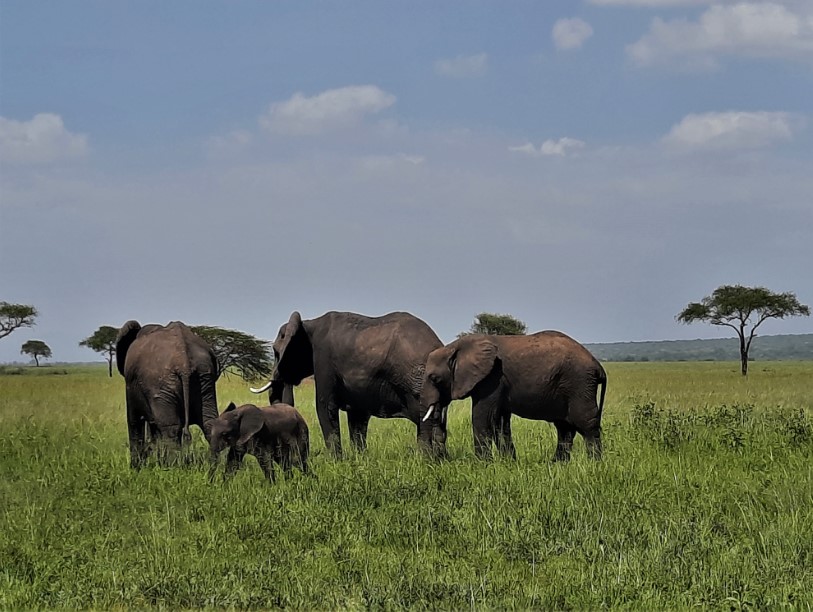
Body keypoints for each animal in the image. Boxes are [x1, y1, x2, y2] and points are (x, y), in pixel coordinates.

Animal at [114, 320, 220, 468]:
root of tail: (184, 362)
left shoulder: (131, 384)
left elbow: (134, 420)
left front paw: (136, 468)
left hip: (161, 382)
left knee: (170, 427)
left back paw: (171, 468)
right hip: (204, 379)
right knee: (209, 423)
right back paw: (215, 466)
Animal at [251, 314, 448, 456]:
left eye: (275, 352)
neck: (308, 324)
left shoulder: (323, 360)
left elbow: (324, 407)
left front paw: (335, 462)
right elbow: (357, 417)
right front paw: (359, 459)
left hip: (417, 380)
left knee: (425, 420)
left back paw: (426, 459)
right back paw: (439, 460)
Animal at [418, 332, 604, 462]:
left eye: (434, 378)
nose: (437, 458)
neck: (454, 347)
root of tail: (598, 365)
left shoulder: (492, 378)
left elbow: (482, 417)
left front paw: (483, 464)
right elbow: (500, 423)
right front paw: (508, 463)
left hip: (580, 384)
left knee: (586, 424)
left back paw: (594, 464)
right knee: (565, 428)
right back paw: (557, 464)